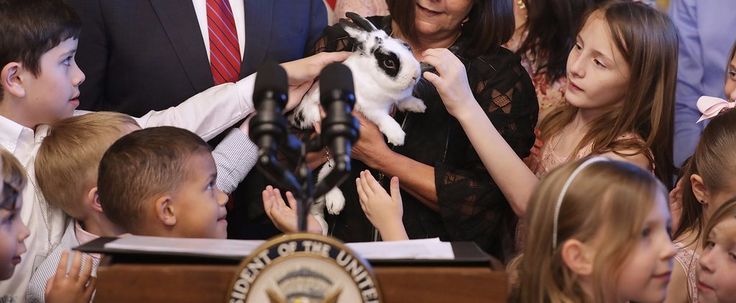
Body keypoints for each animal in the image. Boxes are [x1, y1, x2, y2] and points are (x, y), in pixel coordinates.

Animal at [288, 12, 426, 230]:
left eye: (407, 46)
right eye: (389, 63)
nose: (415, 75)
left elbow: (404, 100)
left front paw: (418, 105)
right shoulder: (368, 108)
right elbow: (382, 117)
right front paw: (397, 136)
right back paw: (331, 209)